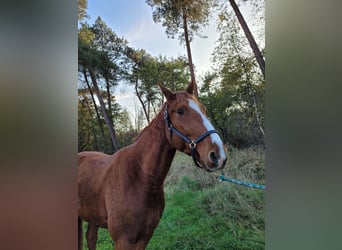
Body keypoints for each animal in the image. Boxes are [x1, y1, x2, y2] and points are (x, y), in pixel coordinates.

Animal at [77, 82, 227, 250]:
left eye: (203, 108)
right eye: (180, 111)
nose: (218, 154)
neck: (140, 178)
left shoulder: (145, 236)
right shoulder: (123, 240)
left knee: (90, 237)